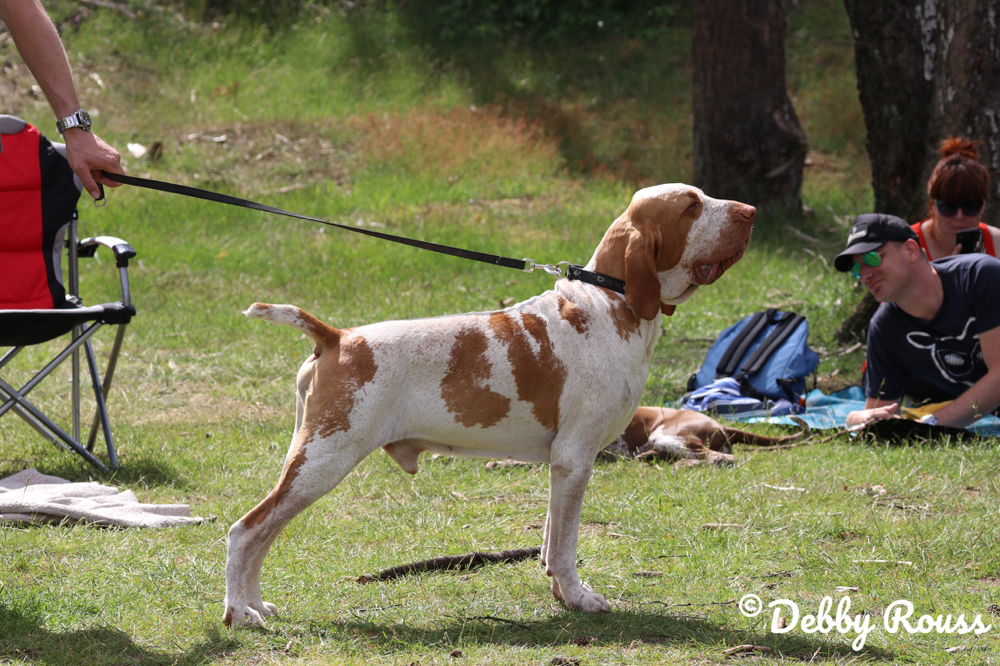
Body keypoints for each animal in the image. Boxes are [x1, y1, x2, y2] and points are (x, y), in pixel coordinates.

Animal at [219, 182, 752, 624]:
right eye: (691, 205)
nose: (750, 211)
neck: (609, 304)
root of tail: (337, 336)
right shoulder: (575, 458)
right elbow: (565, 548)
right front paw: (580, 598)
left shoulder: (563, 466)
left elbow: (550, 543)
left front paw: (562, 596)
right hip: (323, 461)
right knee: (246, 531)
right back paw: (240, 613)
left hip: (309, 461)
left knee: (262, 535)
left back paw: (256, 605)